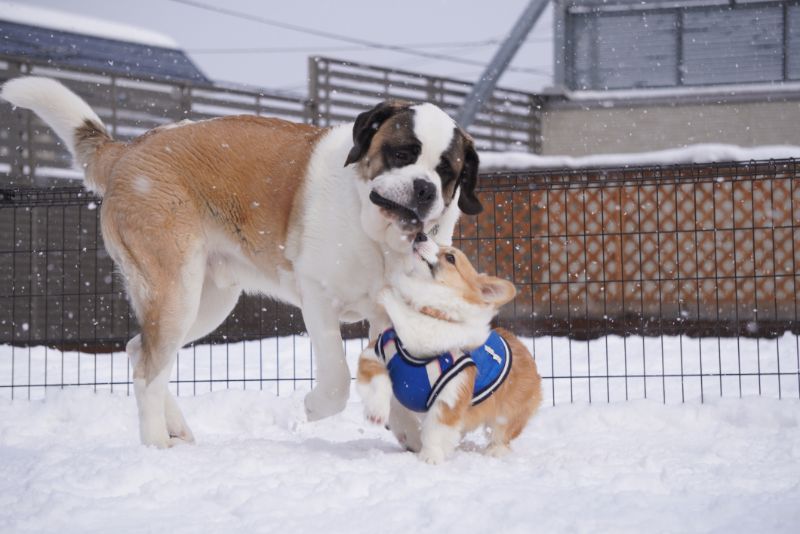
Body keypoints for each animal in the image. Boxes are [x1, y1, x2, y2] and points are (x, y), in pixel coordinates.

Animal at [1, 77, 482, 450]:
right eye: (402, 153)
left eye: (446, 171)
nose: (424, 188)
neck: (376, 235)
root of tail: (130, 148)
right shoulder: (317, 298)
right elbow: (337, 378)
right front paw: (312, 408)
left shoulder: (388, 314)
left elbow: (394, 376)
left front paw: (409, 435)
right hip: (177, 289)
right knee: (148, 368)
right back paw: (155, 444)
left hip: (209, 301)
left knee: (141, 349)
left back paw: (177, 430)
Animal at [358, 236, 540, 464]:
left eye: (451, 257)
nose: (420, 235)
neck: (429, 313)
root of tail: (522, 346)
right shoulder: (375, 354)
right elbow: (380, 382)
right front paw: (377, 412)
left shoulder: (452, 393)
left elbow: (435, 428)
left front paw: (430, 457)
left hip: (509, 411)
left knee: (502, 432)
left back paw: (495, 451)